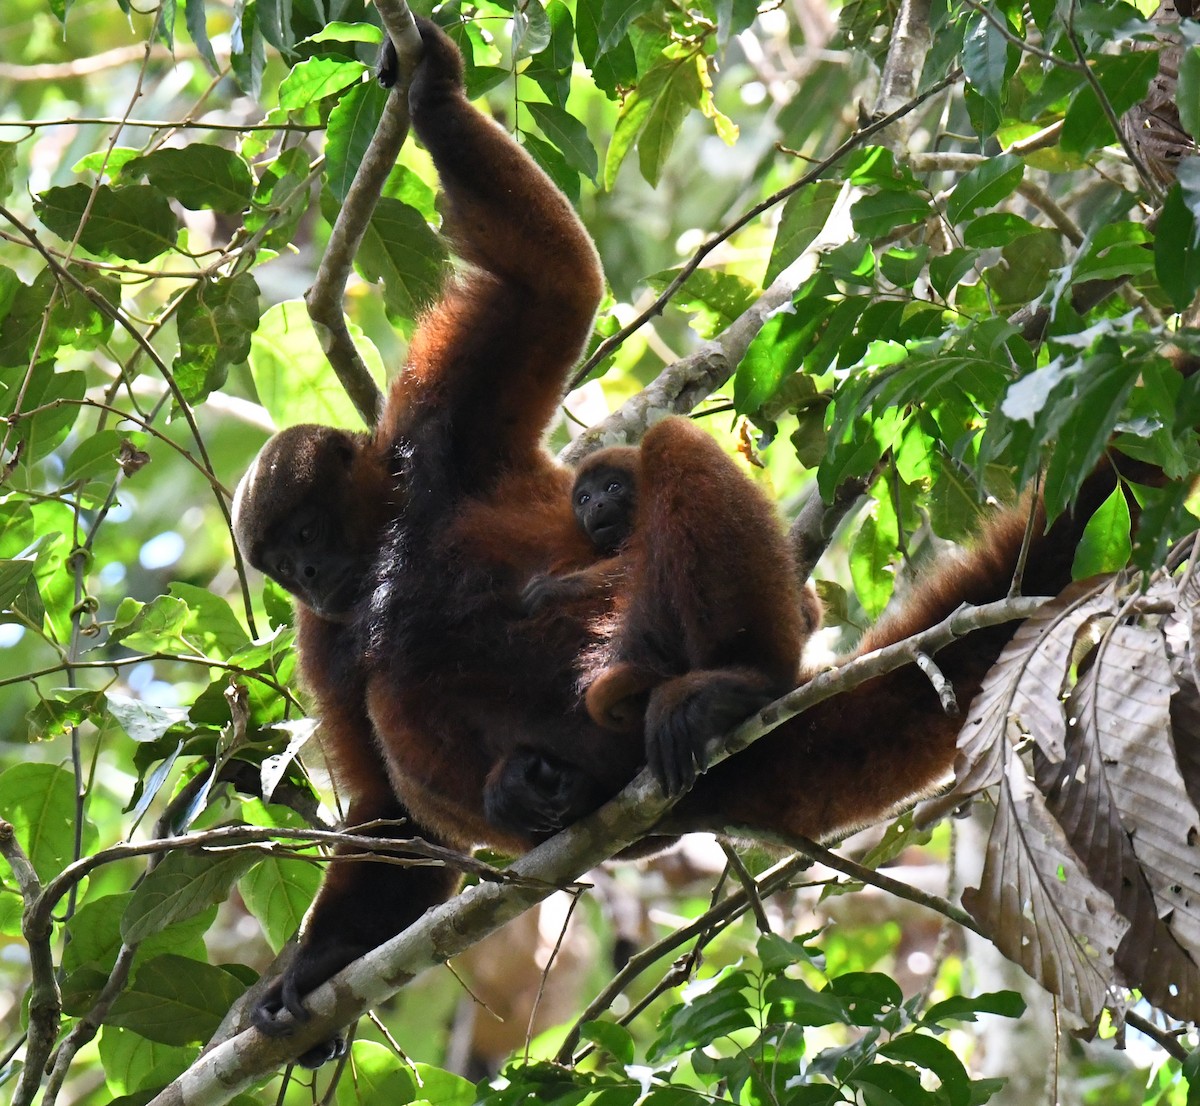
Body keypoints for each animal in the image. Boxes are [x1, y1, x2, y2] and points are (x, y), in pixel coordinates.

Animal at [232, 16, 1175, 1064]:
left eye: (306, 533)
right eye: (280, 565)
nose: (309, 574)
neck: (383, 549)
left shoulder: (438, 437)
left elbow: (554, 284)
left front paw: (432, 84)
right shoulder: (325, 633)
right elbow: (390, 813)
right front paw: (312, 970)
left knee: (676, 454)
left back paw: (733, 686)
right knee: (402, 693)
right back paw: (543, 789)